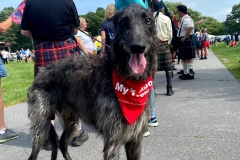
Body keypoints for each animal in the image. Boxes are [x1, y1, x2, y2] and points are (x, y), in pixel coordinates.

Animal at [27, 4, 158, 160]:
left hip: (71, 120)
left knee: (62, 143)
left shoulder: (135, 139)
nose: (137, 47)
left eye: (148, 20)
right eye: (124, 21)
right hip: (41, 124)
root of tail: (41, 72)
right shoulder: (113, 139)